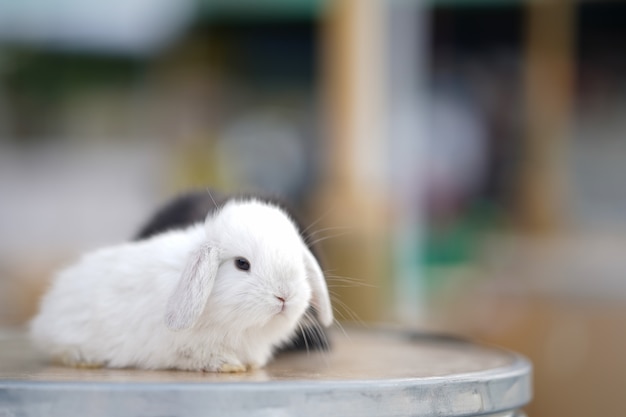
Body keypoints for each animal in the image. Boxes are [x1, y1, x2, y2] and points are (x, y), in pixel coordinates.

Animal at [29, 198, 332, 370]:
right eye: (242, 264)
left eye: (298, 259)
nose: (285, 296)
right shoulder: (182, 347)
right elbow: (195, 357)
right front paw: (228, 366)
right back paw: (83, 359)